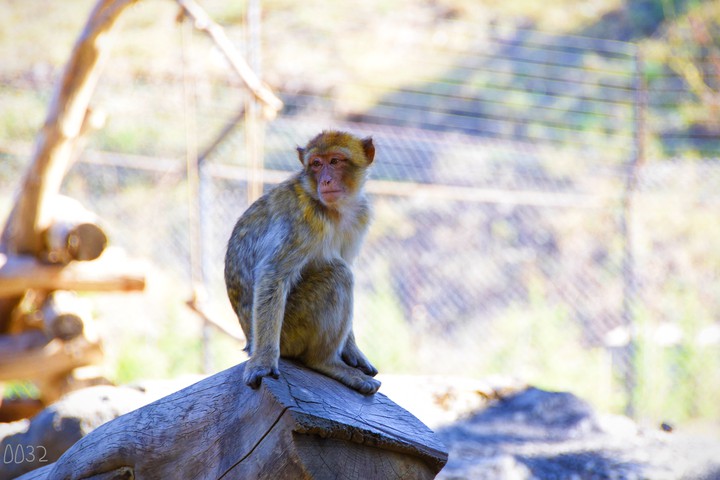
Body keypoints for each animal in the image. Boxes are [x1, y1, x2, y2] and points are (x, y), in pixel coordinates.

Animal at [224, 130, 381, 395]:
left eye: (335, 161)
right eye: (316, 164)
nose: (325, 181)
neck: (333, 211)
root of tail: (248, 339)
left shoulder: (361, 215)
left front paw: (353, 350)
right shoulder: (303, 219)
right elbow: (272, 274)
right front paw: (263, 361)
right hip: (290, 332)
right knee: (338, 274)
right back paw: (324, 362)